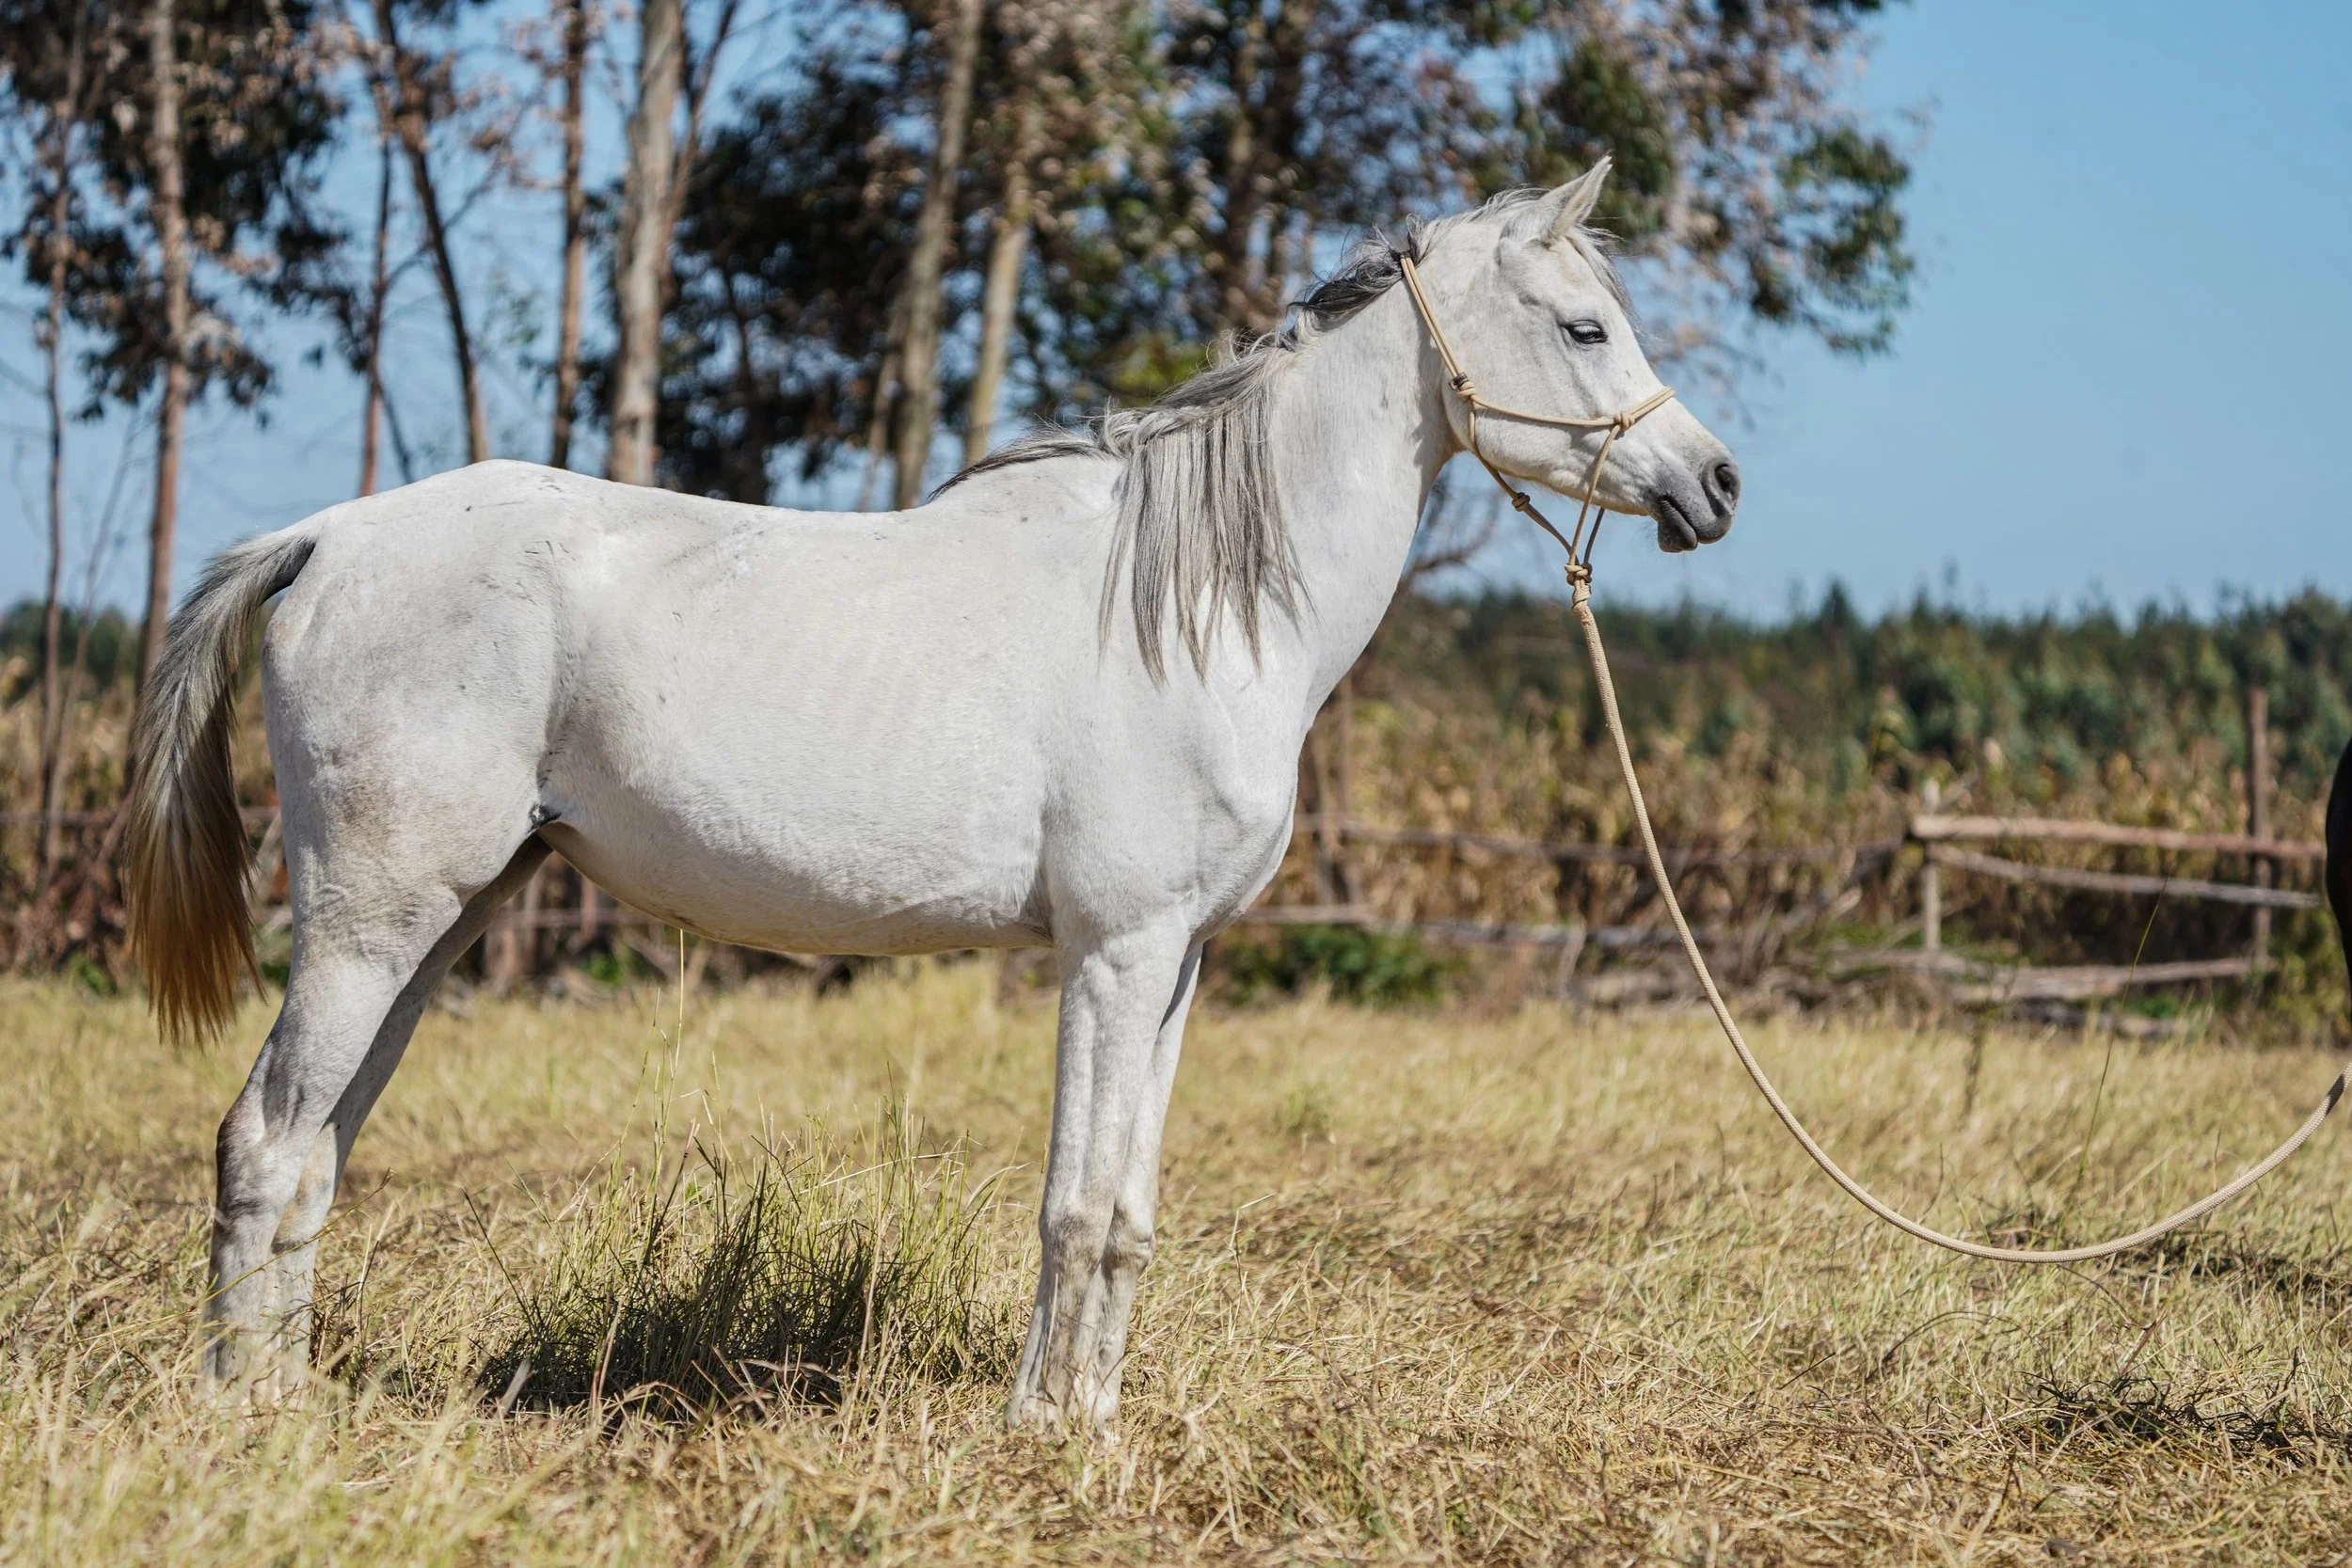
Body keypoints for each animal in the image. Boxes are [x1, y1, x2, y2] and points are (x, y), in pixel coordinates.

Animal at [127, 160, 1740, 1431]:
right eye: (1584, 325)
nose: (1716, 485)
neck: (1194, 601)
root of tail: (324, 538)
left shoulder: (1175, 965)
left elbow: (1129, 1212)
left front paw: (1095, 1422)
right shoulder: (1113, 954)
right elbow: (1074, 1201)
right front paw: (1042, 1430)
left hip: (440, 924)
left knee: (316, 1153)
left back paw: (290, 1401)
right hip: (369, 923)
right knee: (264, 1144)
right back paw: (244, 1424)